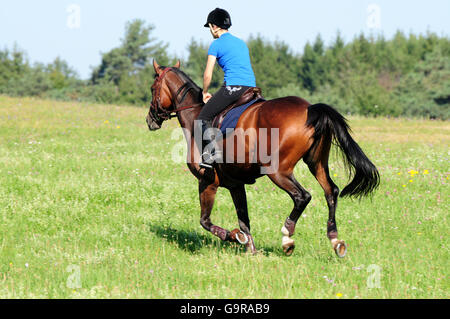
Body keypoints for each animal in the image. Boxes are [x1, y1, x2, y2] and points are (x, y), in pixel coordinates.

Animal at [146, 61, 378, 258]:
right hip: (316, 163)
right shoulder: (235, 184)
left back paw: (287, 238)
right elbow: (244, 220)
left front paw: (233, 237)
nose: (150, 120)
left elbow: (205, 221)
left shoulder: (207, 181)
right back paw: (335, 240)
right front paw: (251, 249)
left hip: (277, 171)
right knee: (331, 192)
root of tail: (310, 108)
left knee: (302, 196)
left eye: (152, 88)